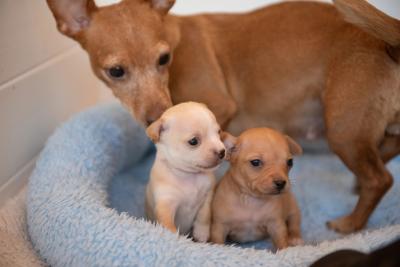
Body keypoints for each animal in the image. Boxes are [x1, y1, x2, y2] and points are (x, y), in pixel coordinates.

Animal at [145, 101, 227, 243]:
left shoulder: (207, 196)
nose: (222, 151)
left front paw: (201, 233)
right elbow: (167, 223)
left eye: (218, 132)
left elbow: (204, 215)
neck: (189, 175)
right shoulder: (166, 204)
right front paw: (174, 238)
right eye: (194, 141)